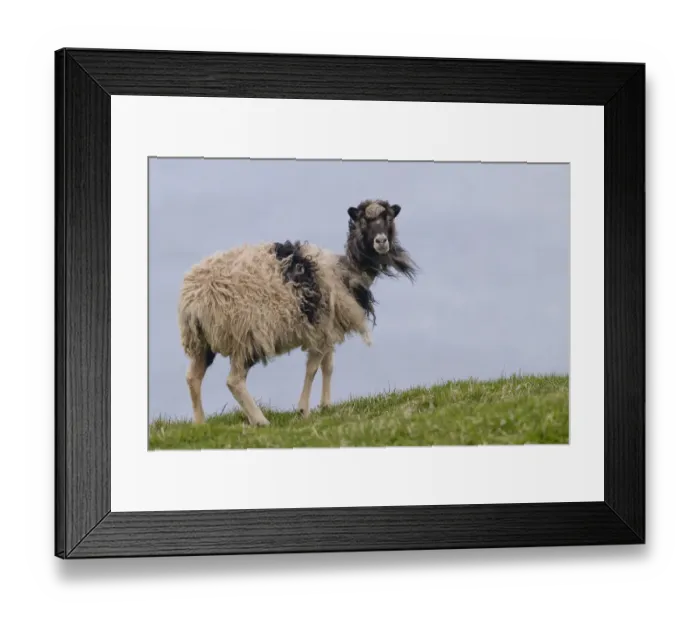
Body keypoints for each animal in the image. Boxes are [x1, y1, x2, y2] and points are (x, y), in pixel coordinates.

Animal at [177, 199, 418, 427]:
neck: (344, 270)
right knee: (234, 381)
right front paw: (303, 410)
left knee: (193, 378)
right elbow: (312, 369)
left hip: (202, 341)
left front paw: (326, 405)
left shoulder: (326, 328)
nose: (381, 241)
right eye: (363, 221)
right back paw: (260, 420)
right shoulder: (319, 330)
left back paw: (200, 423)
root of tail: (194, 300)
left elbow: (328, 366)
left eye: (388, 218)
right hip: (248, 336)